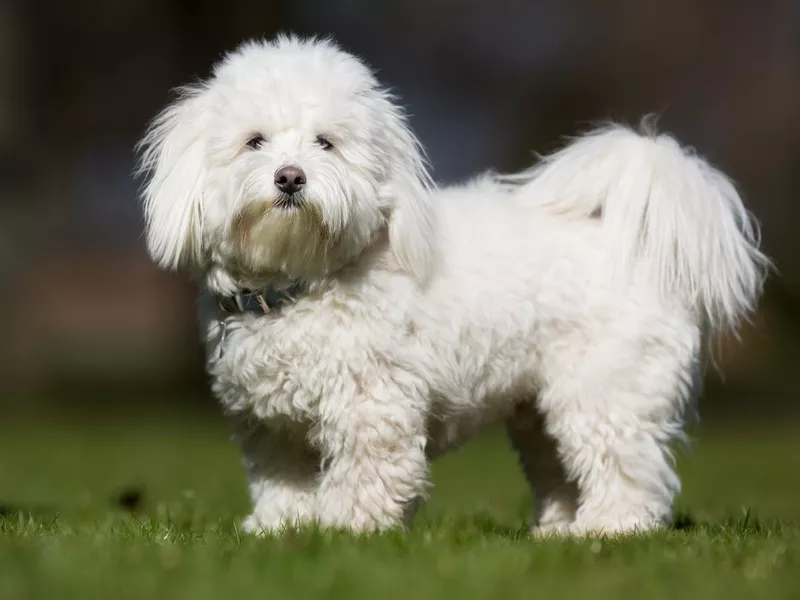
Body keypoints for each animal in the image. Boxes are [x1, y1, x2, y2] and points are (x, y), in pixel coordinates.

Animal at [138, 36, 768, 536]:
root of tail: (636, 245)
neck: (302, 283)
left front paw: (345, 530)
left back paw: (610, 531)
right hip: (539, 411)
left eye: (325, 143)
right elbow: (283, 483)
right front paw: (279, 530)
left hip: (605, 391)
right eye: (254, 141)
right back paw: (559, 535)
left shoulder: (372, 407)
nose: (290, 178)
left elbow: (368, 473)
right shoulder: (272, 427)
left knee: (628, 470)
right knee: (562, 470)